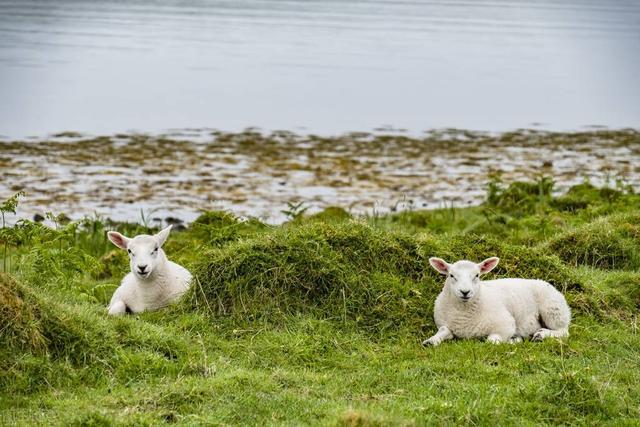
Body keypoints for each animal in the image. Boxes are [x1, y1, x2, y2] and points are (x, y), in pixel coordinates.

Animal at [424, 256, 568, 346]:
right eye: (451, 275)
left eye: (477, 275)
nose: (465, 292)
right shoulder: (444, 324)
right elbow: (444, 330)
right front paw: (431, 341)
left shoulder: (506, 324)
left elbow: (491, 341)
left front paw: (514, 340)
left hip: (553, 309)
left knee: (563, 331)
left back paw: (542, 335)